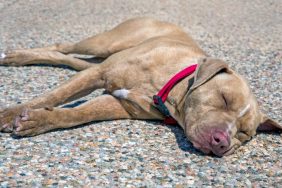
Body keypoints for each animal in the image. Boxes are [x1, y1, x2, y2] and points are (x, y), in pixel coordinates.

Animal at [0, 17, 280, 156]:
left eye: (244, 134)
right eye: (223, 98)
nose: (222, 142)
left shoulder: (118, 103)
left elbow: (79, 113)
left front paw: (39, 120)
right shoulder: (100, 74)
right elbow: (57, 95)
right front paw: (12, 113)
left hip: (97, 58)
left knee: (68, 59)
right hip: (104, 43)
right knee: (62, 46)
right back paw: (16, 56)